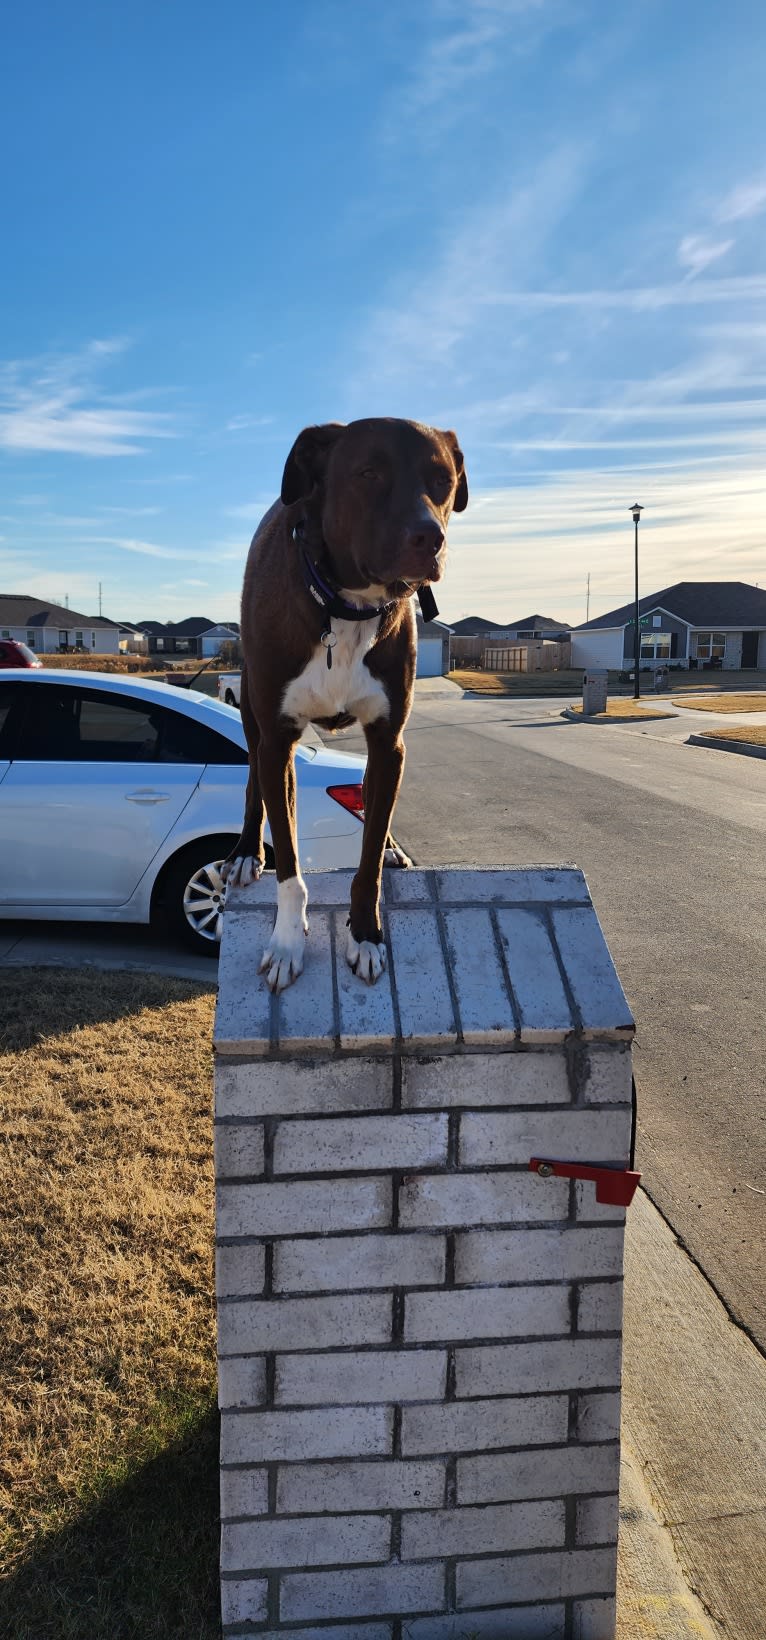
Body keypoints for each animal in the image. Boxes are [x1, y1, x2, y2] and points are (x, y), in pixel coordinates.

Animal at [221, 416, 469, 990]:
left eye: (443, 480)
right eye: (368, 473)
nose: (431, 537)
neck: (347, 608)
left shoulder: (388, 741)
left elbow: (368, 857)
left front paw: (367, 933)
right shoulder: (279, 740)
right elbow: (290, 864)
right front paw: (287, 942)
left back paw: (393, 847)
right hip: (252, 718)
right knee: (252, 781)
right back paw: (245, 852)